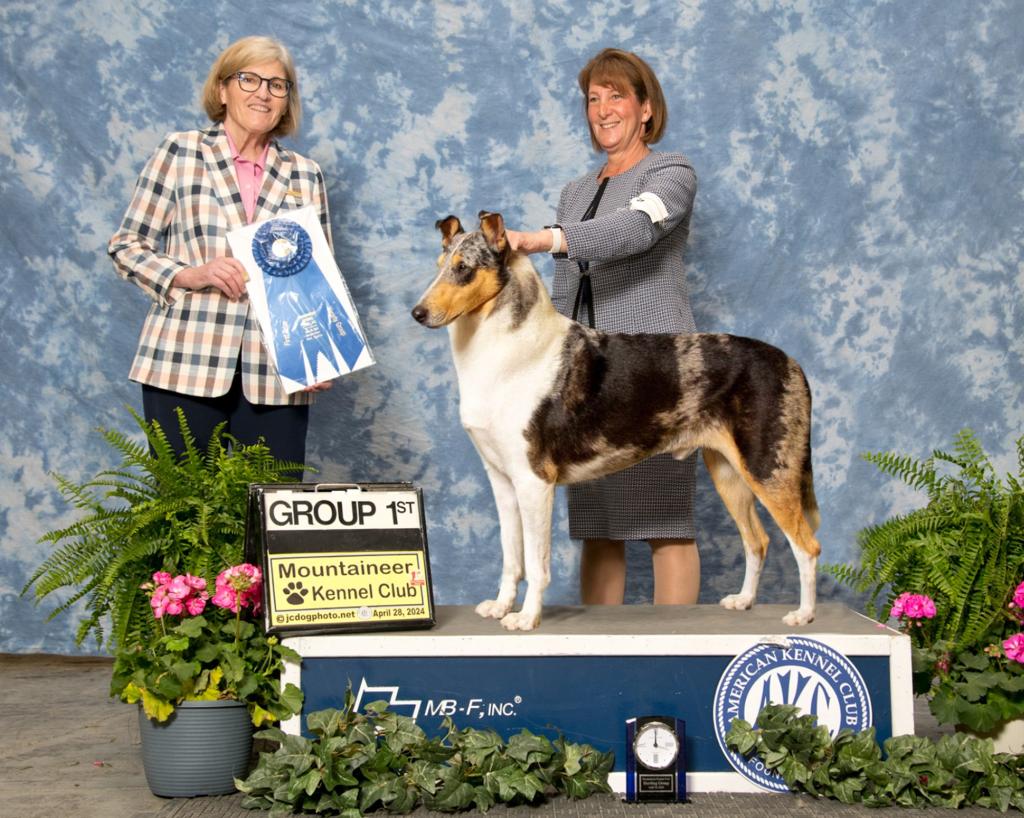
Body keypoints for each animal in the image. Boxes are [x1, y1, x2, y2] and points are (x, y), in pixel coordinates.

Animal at [411, 212, 819, 634]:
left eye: (464, 269)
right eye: (439, 266)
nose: (417, 313)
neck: (501, 350)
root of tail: (792, 363)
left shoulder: (534, 480)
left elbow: (537, 564)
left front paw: (525, 617)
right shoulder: (502, 480)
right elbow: (512, 557)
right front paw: (501, 606)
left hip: (768, 469)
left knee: (806, 545)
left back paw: (803, 615)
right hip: (728, 472)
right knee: (757, 540)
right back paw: (745, 600)